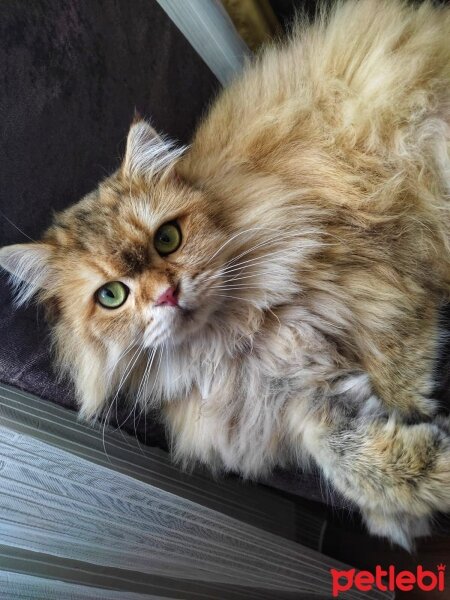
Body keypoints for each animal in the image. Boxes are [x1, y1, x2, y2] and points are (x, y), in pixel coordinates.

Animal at [0, 0, 450, 548]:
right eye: (112, 296)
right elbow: (347, 456)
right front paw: (409, 491)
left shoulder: (385, 294)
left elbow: (399, 382)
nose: (166, 295)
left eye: (167, 239)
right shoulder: (293, 398)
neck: (234, 343)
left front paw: (426, 448)